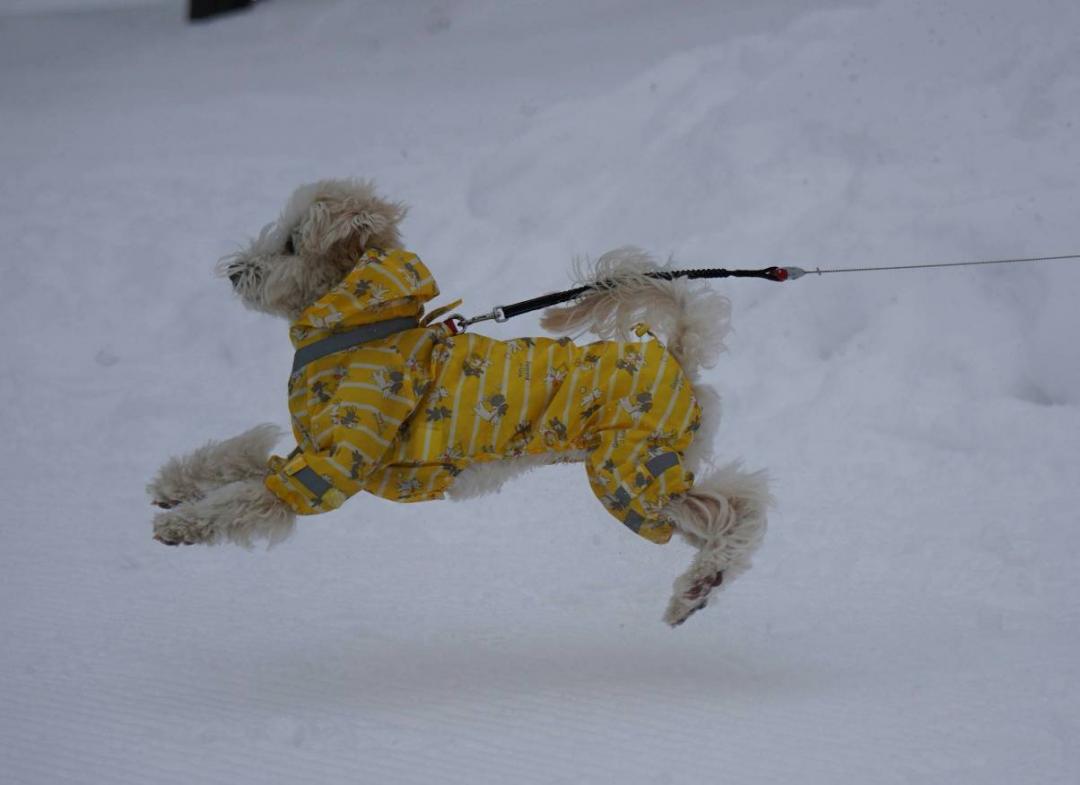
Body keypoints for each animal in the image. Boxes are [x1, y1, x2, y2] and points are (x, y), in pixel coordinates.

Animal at [150, 179, 768, 626]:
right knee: (727, 510)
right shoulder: (307, 448)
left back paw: (698, 585)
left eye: (290, 245)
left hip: (631, 471)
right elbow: (236, 457)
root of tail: (676, 354)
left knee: (739, 506)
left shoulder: (330, 465)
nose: (234, 273)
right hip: (649, 474)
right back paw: (702, 584)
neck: (359, 327)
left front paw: (182, 526)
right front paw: (174, 486)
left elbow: (247, 497)